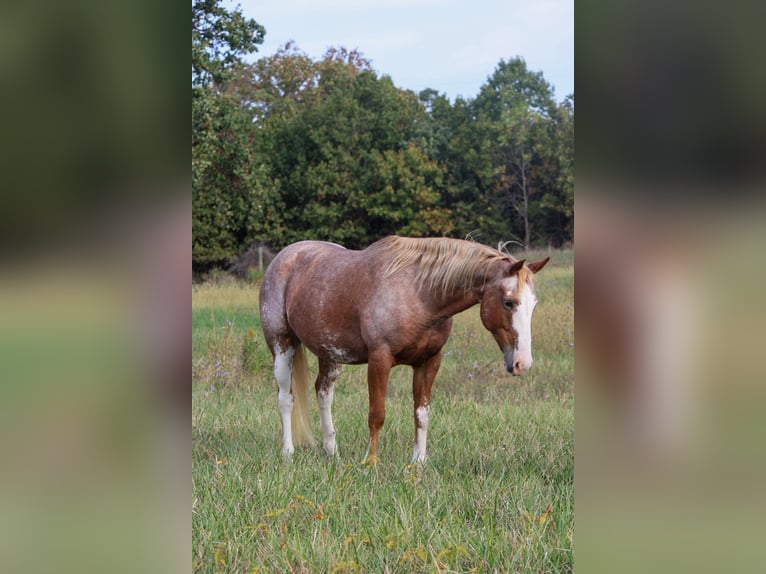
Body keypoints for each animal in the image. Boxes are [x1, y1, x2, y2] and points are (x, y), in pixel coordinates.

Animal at [259, 236, 549, 464]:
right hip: (282, 345)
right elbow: (377, 414)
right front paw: (370, 462)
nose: (522, 363)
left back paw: (332, 452)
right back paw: (288, 452)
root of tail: (284, 257)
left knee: (323, 393)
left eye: (534, 304)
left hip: (329, 353)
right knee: (286, 398)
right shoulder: (380, 360)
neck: (420, 295)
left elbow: (421, 413)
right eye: (509, 302)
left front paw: (418, 462)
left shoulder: (429, 362)